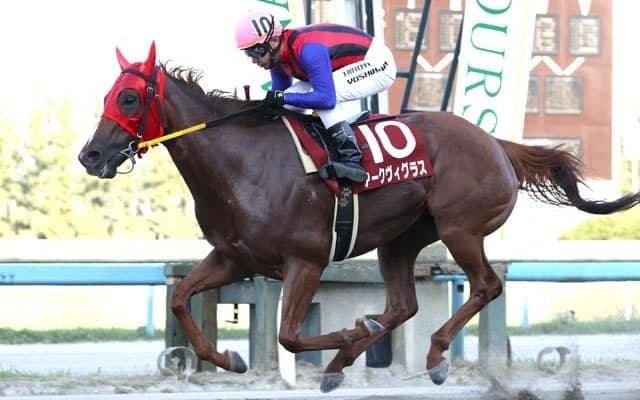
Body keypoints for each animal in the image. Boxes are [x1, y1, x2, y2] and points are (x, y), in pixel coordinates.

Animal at [78, 42, 640, 392]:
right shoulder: (234, 258)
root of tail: (496, 143)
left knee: (485, 286)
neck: (241, 162)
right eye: (106, 95)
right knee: (403, 305)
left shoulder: (304, 261)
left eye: (129, 96)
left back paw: (432, 356)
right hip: (401, 240)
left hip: (460, 228)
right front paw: (228, 359)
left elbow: (288, 336)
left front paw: (346, 336)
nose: (91, 155)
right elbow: (179, 299)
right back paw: (350, 358)